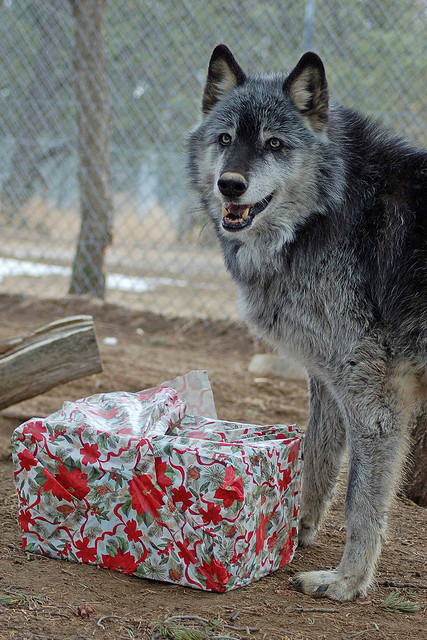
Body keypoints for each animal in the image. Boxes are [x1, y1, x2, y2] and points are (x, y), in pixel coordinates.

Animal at [188, 43, 427, 600]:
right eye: (225, 139)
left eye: (274, 144)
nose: (229, 185)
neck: (331, 209)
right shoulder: (327, 378)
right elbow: (314, 464)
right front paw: (293, 531)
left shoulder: (376, 396)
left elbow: (361, 501)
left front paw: (347, 582)